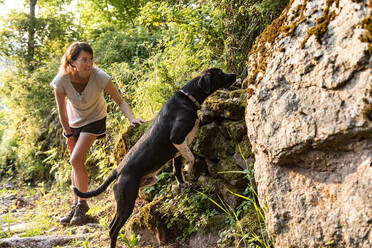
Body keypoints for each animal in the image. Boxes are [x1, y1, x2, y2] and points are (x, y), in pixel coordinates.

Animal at [72, 67, 235, 246]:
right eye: (220, 74)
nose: (234, 75)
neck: (187, 98)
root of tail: (117, 170)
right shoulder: (177, 138)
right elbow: (191, 158)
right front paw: (189, 169)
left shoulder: (177, 150)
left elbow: (177, 171)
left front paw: (183, 183)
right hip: (126, 202)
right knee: (113, 229)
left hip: (143, 185)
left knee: (111, 225)